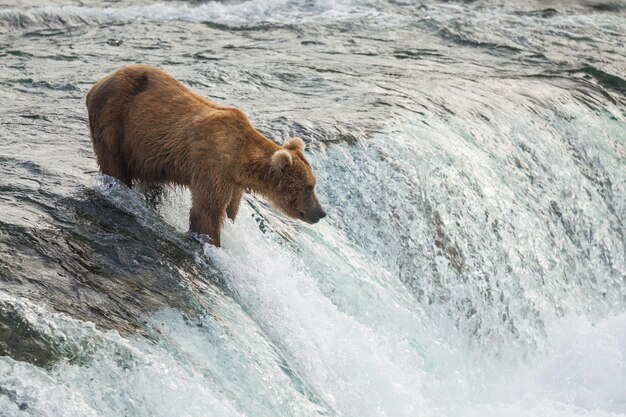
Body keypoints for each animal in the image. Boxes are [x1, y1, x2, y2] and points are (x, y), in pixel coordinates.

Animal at [85, 64, 324, 245]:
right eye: (308, 187)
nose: (321, 213)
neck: (239, 161)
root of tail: (98, 83)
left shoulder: (234, 184)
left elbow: (230, 211)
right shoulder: (212, 167)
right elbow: (207, 212)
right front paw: (212, 241)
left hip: (145, 154)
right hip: (114, 122)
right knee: (113, 163)